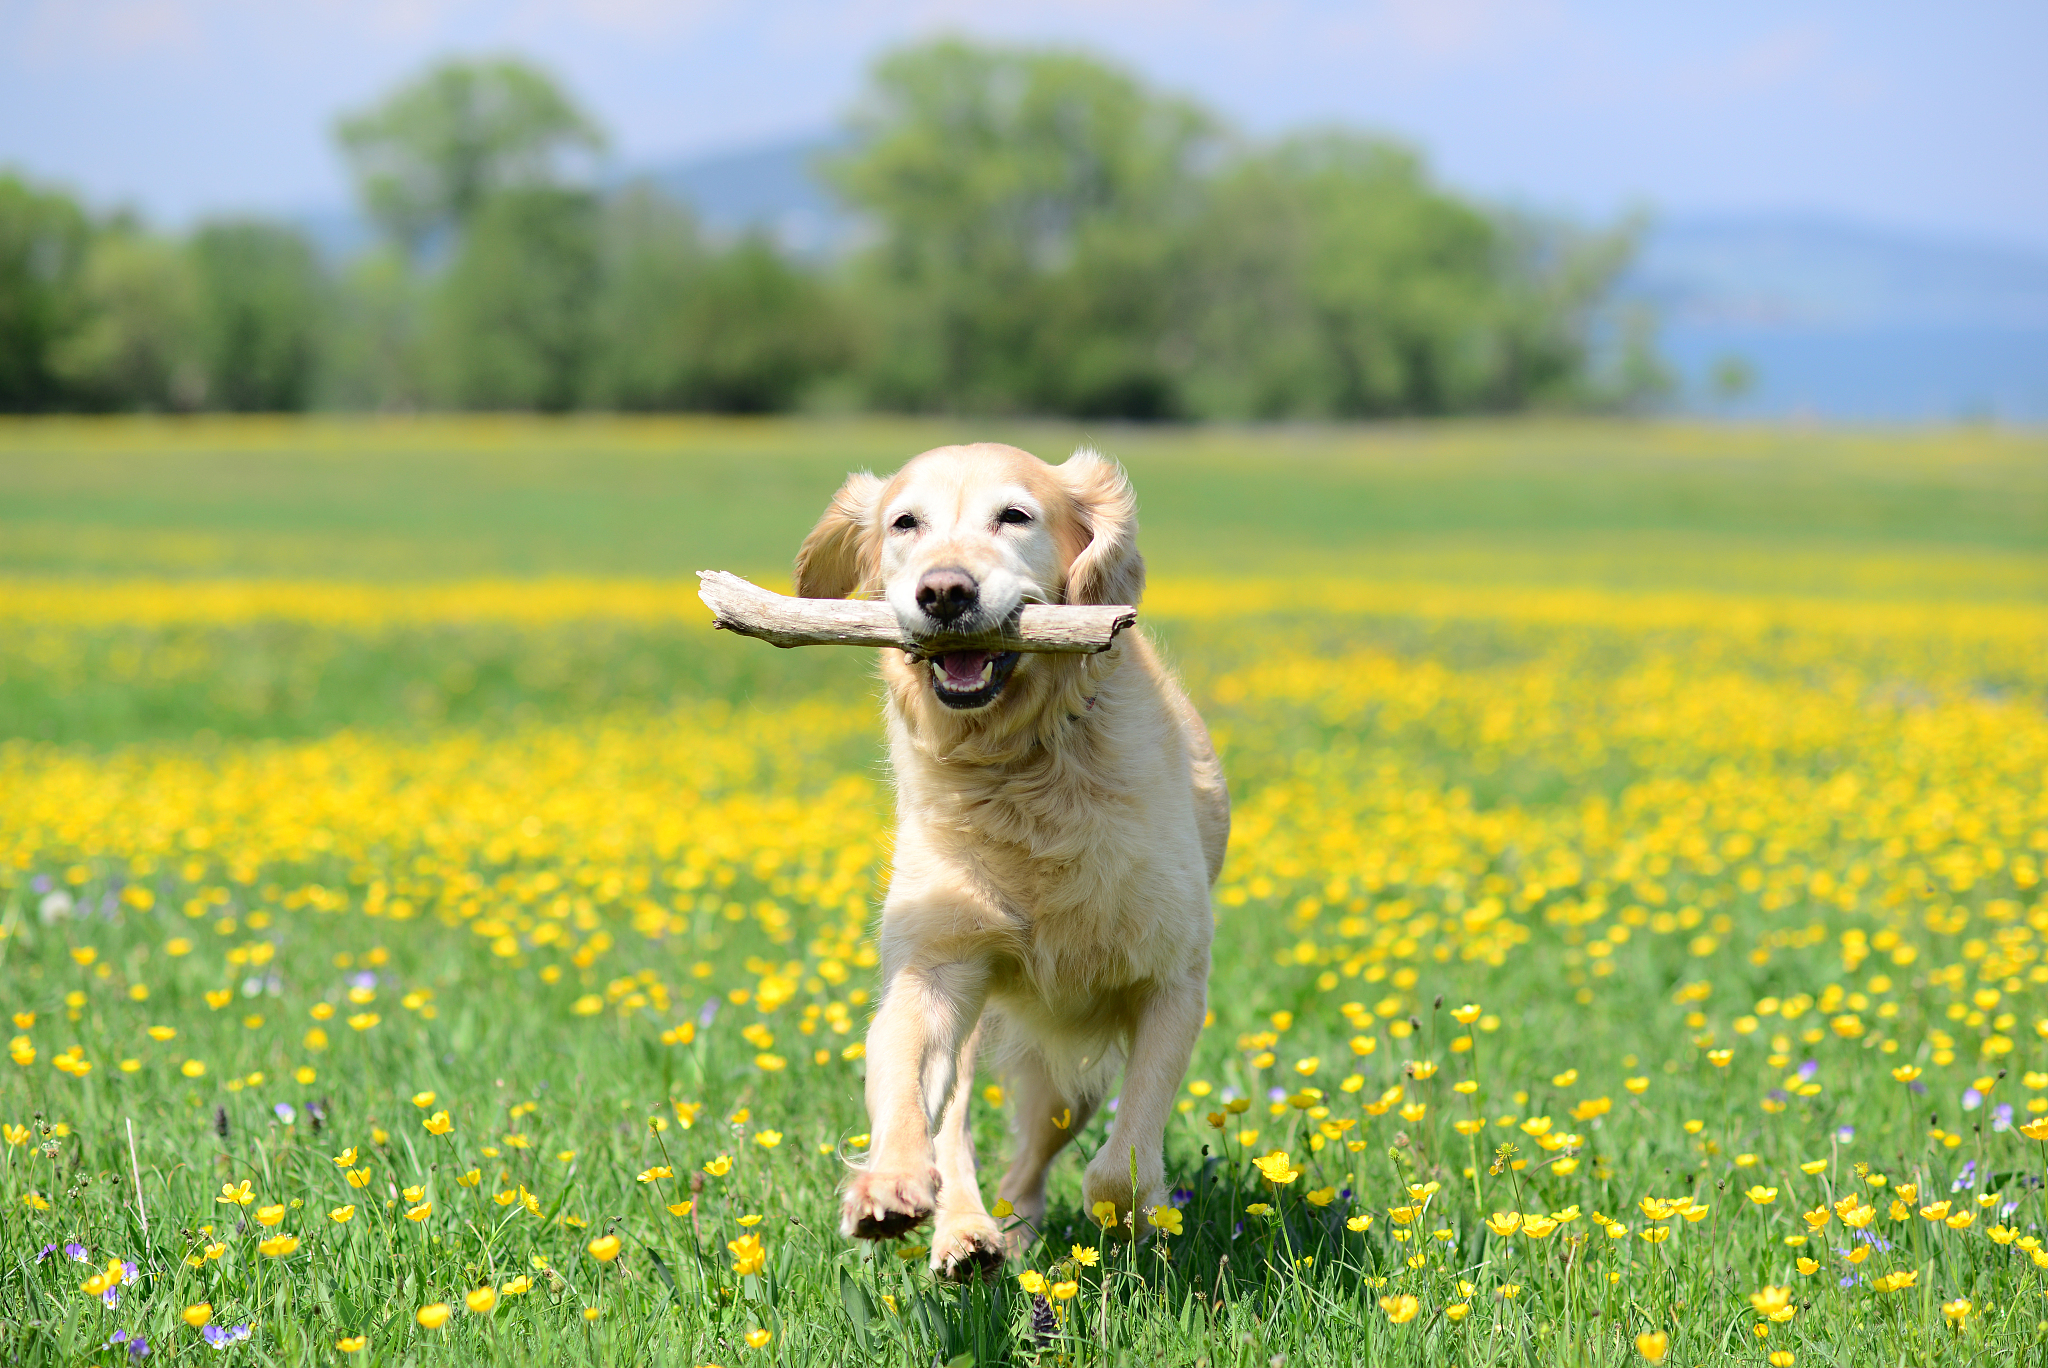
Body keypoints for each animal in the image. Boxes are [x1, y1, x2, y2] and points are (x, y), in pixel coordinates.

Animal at [790, 444, 1220, 1277]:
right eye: (905, 522)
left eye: (1014, 516)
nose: (944, 592)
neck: (1018, 769)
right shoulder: (931, 966)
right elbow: (899, 1077)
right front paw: (887, 1185)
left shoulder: (1172, 982)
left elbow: (1120, 1164)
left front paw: (1138, 1221)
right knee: (957, 1127)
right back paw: (968, 1234)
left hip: (1068, 1081)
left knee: (1039, 1152)